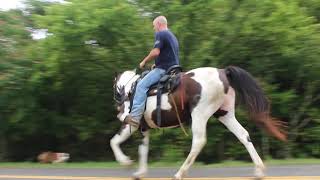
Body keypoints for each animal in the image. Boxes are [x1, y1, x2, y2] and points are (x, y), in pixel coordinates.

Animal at [110, 66, 288, 180]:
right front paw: (139, 173)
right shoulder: (144, 128)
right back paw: (259, 171)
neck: (130, 89)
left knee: (198, 142)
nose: (117, 106)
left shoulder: (130, 123)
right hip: (225, 115)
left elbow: (114, 141)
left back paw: (180, 173)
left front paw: (125, 162)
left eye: (114, 87)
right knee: (244, 135)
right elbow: (143, 150)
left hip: (199, 115)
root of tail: (223, 72)